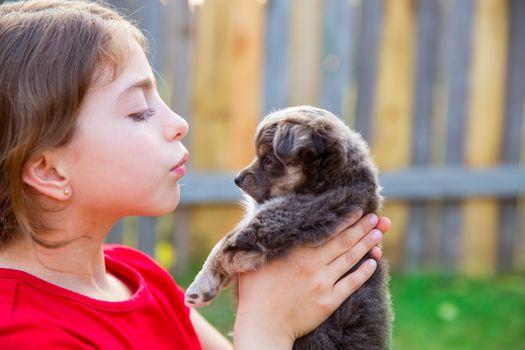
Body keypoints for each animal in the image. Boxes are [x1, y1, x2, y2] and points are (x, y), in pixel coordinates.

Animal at [186, 105, 390, 348]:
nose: (237, 179)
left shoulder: (270, 225)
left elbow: (221, 247)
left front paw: (198, 288)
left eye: (268, 160)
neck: (326, 184)